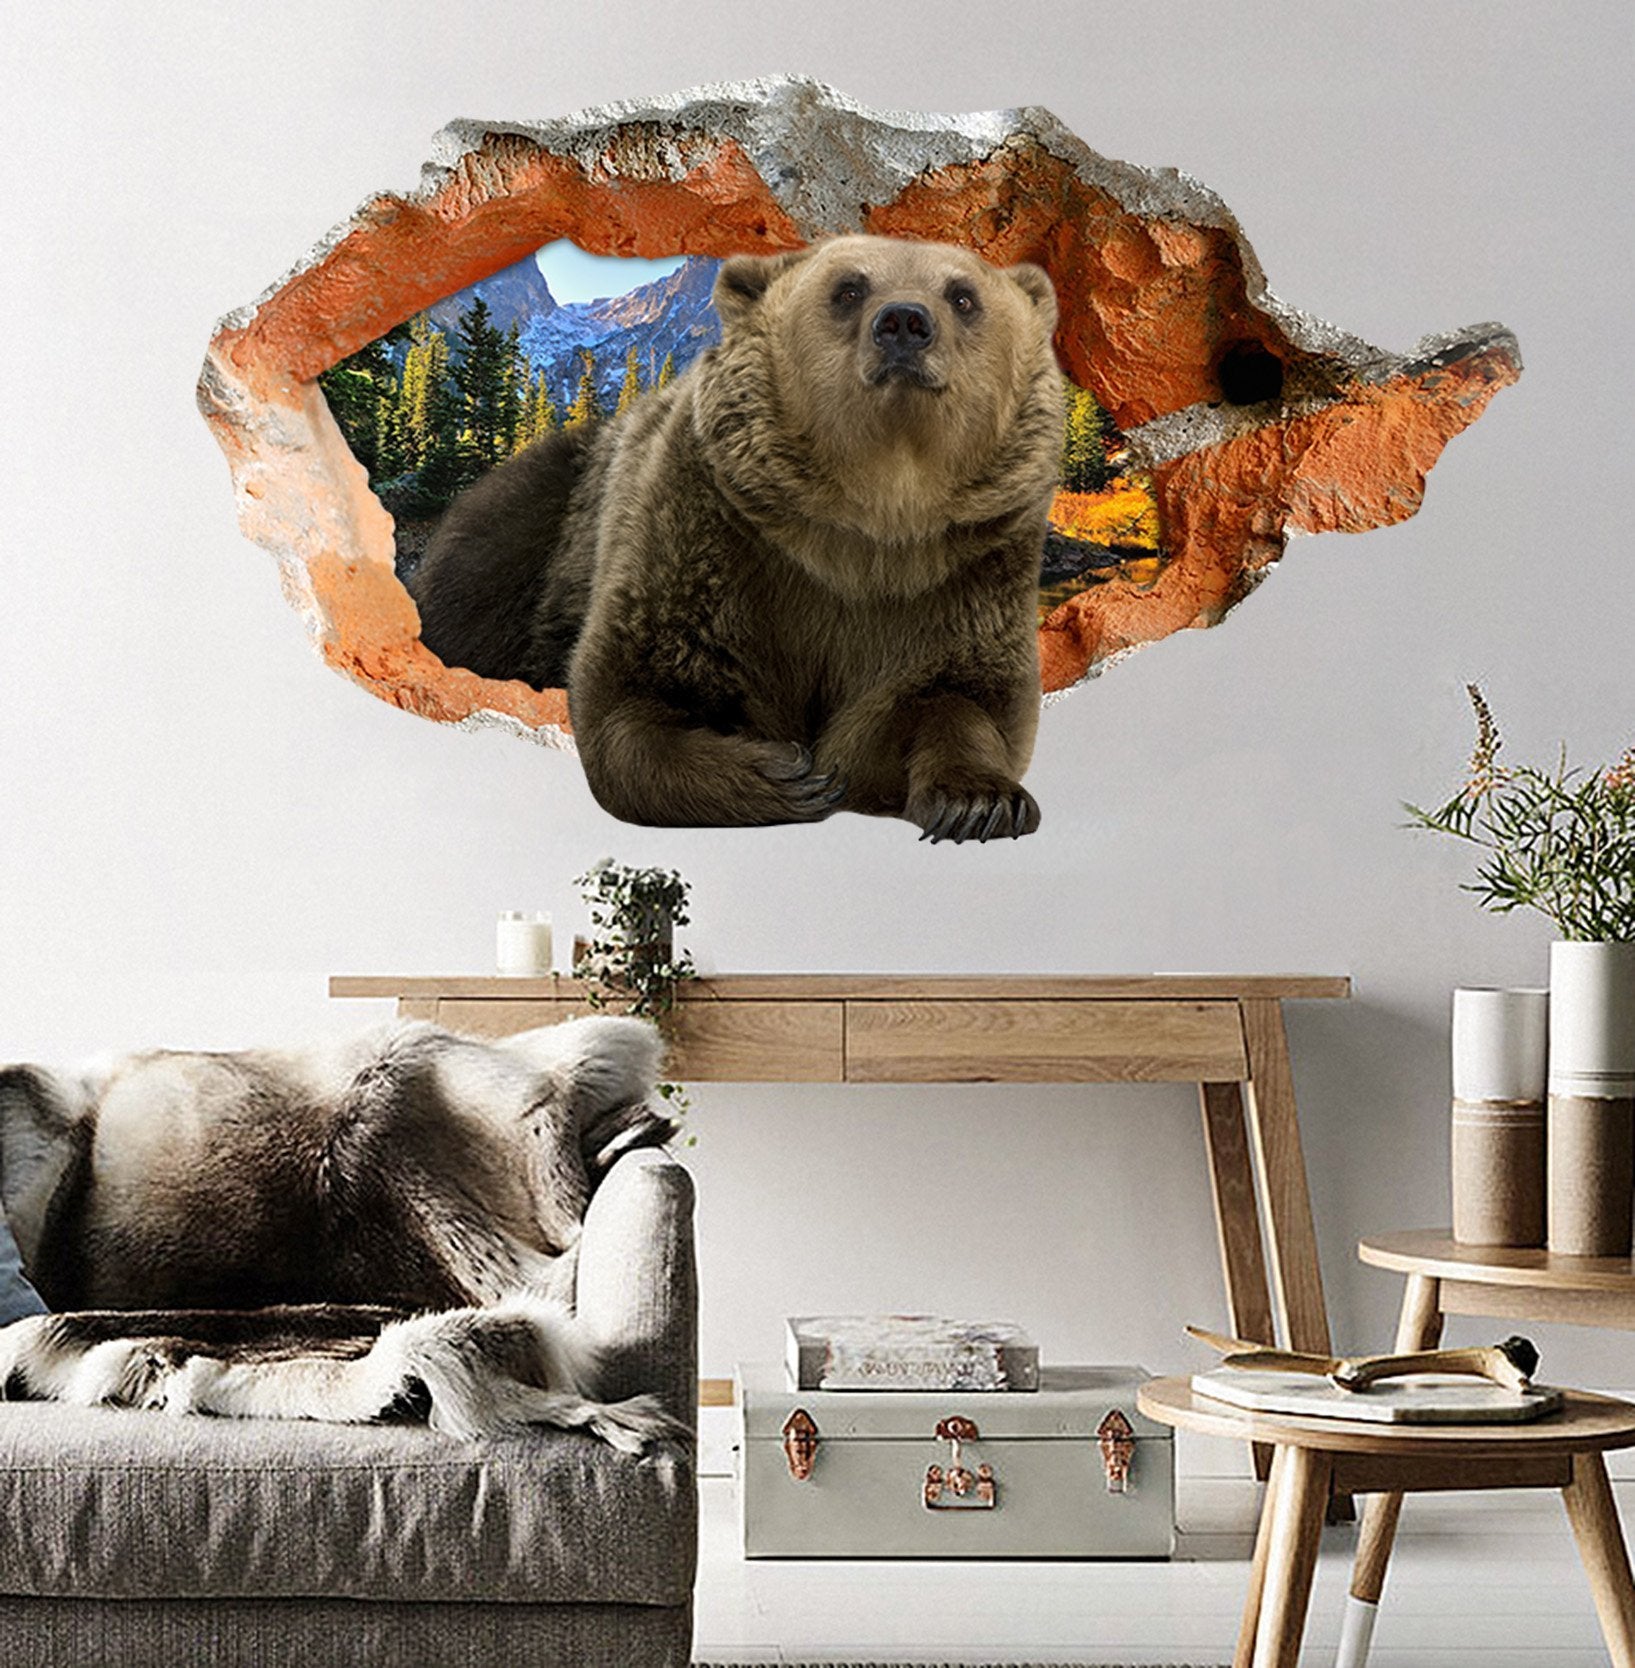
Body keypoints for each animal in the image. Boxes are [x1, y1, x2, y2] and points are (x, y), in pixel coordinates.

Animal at [407, 234, 1065, 841]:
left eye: (964, 295)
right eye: (848, 289)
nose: (904, 322)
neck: (872, 520)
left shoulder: (966, 571)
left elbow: (962, 696)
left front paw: (980, 801)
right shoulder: (709, 532)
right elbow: (634, 688)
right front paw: (785, 774)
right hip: (539, 527)